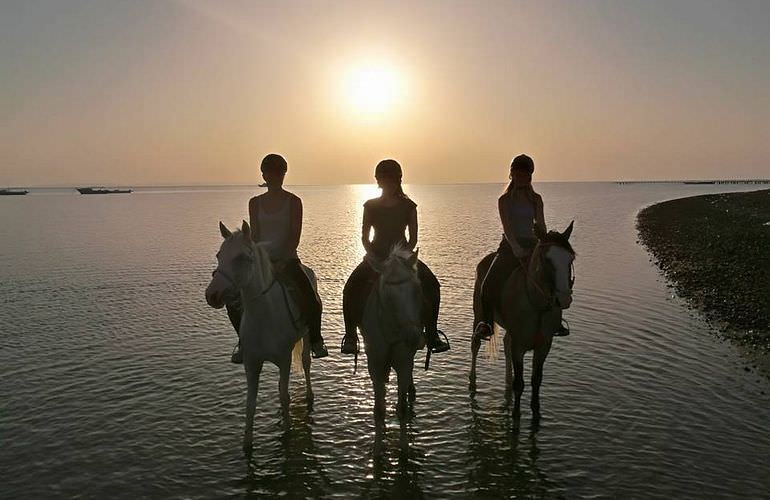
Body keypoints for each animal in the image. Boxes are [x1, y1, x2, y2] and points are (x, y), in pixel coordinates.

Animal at [206, 221, 314, 452]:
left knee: (306, 362)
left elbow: (284, 397)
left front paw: (288, 433)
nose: (212, 295)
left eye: (241, 258)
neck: (264, 316)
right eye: (219, 255)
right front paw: (247, 443)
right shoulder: (252, 363)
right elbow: (251, 403)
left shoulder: (284, 360)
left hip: (308, 336)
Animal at [356, 245, 424, 422]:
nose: (412, 336)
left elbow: (402, 409)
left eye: (417, 290)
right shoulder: (375, 363)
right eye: (387, 296)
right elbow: (379, 409)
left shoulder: (404, 361)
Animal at [464, 221, 572, 420]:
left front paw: (536, 412)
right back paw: (472, 380)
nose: (564, 298)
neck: (537, 306)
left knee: (506, 343)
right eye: (547, 260)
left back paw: (507, 379)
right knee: (475, 344)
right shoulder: (519, 347)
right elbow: (520, 383)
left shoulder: (544, 346)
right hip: (479, 314)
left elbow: (536, 380)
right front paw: (515, 415)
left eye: (570, 259)